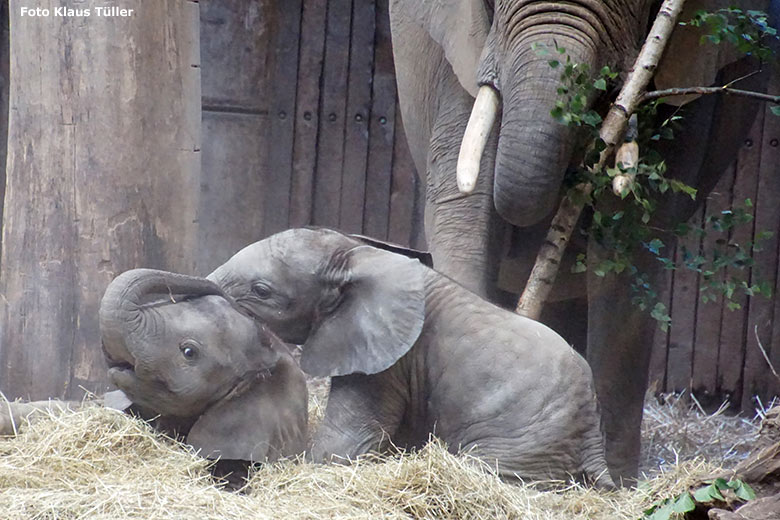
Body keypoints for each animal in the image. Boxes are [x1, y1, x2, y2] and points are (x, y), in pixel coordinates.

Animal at [207, 228, 616, 488]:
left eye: (262, 291)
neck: (358, 253)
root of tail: (594, 436)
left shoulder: (386, 361)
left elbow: (346, 443)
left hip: (526, 440)